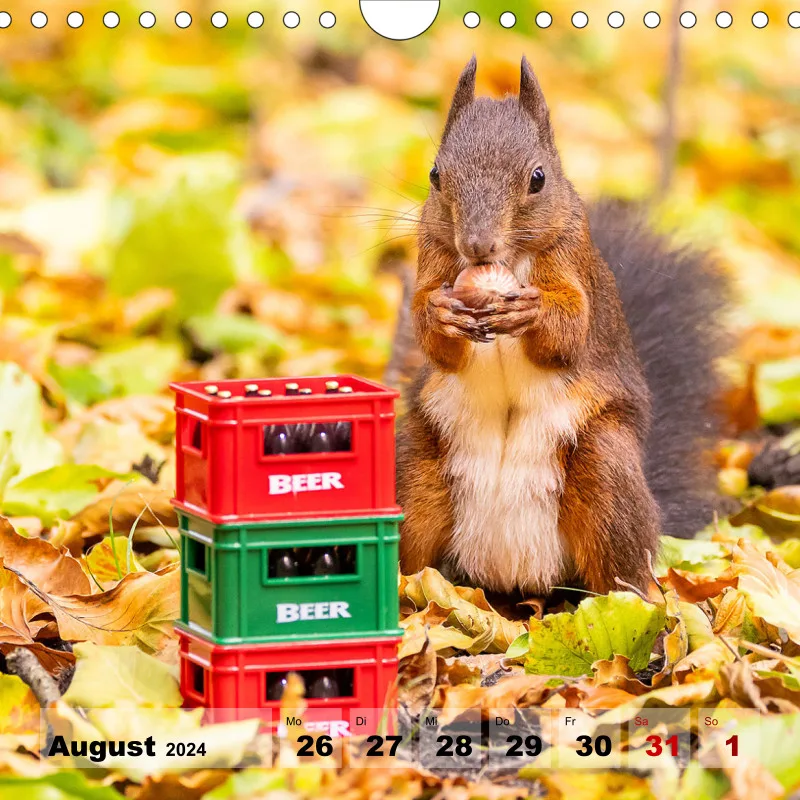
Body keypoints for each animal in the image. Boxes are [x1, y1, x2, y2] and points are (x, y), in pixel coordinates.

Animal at [394, 57, 730, 596]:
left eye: (538, 178)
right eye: (435, 175)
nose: (477, 245)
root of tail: (512, 573)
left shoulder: (573, 262)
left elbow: (569, 330)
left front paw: (529, 313)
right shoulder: (432, 256)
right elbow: (434, 337)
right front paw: (441, 314)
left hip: (606, 471)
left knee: (623, 565)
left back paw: (632, 607)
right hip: (415, 469)